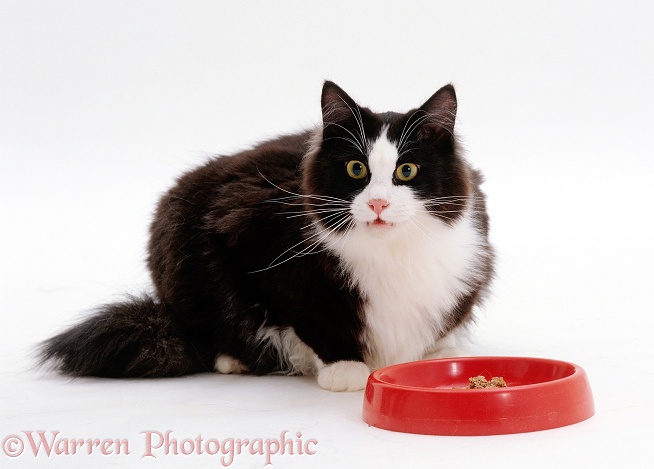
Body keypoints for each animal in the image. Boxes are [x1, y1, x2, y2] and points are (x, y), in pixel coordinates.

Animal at [38, 81, 494, 392]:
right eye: (356, 170)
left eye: (407, 171)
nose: (379, 204)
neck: (393, 252)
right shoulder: (255, 246)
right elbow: (311, 317)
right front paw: (344, 369)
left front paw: (439, 354)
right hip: (181, 255)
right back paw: (234, 360)